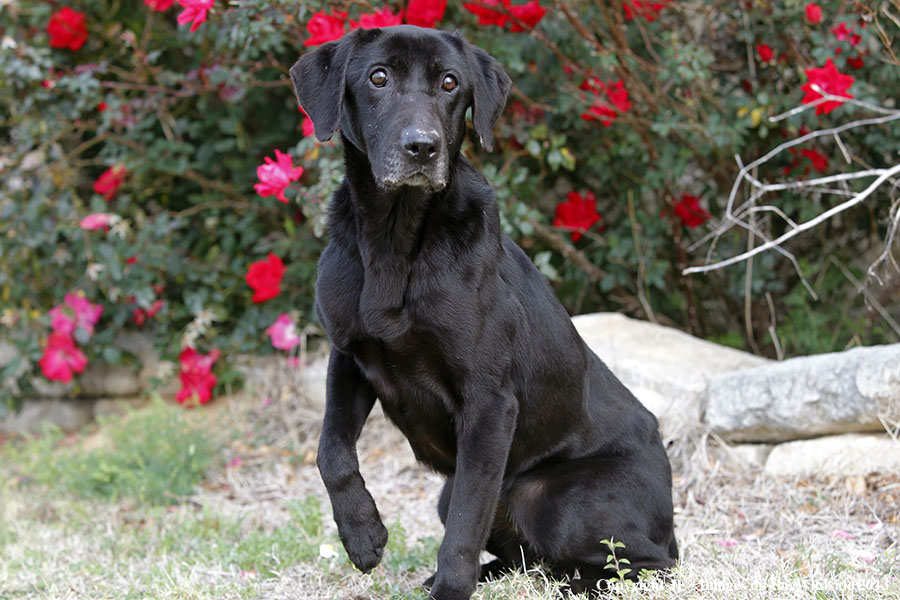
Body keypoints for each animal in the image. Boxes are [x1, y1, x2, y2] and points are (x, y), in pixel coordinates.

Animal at [288, 24, 676, 600]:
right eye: (378, 77)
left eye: (450, 83)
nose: (422, 147)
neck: (395, 241)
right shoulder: (349, 358)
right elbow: (330, 450)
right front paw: (362, 534)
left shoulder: (489, 402)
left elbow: (467, 521)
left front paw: (448, 589)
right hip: (453, 494)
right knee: (526, 556)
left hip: (556, 500)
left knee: (643, 565)